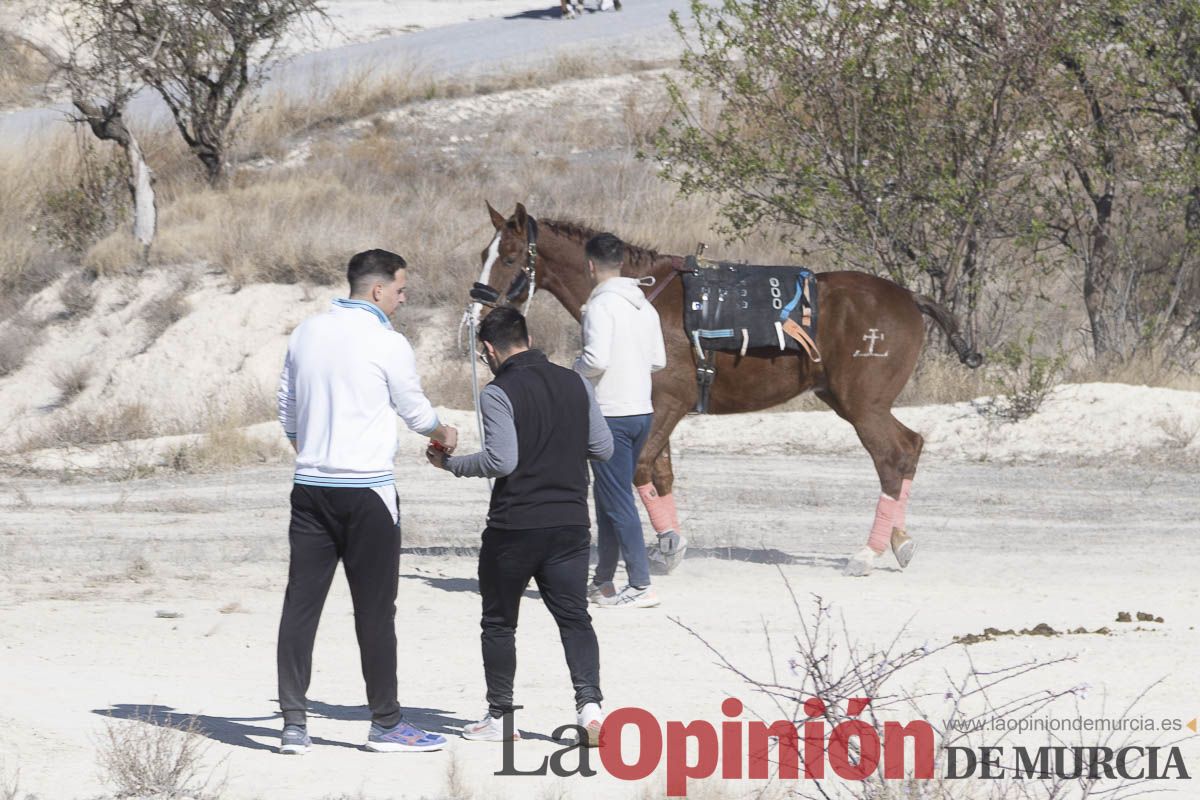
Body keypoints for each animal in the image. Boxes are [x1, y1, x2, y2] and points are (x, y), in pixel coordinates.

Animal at [472, 201, 979, 575]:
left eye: (511, 257)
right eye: (484, 254)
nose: (479, 314)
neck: (641, 300)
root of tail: (909, 296)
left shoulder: (668, 403)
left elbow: (640, 468)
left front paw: (666, 547)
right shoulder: (656, 407)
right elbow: (659, 473)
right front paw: (670, 542)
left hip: (864, 405)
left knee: (893, 457)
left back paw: (869, 552)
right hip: (851, 401)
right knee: (908, 448)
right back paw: (899, 539)